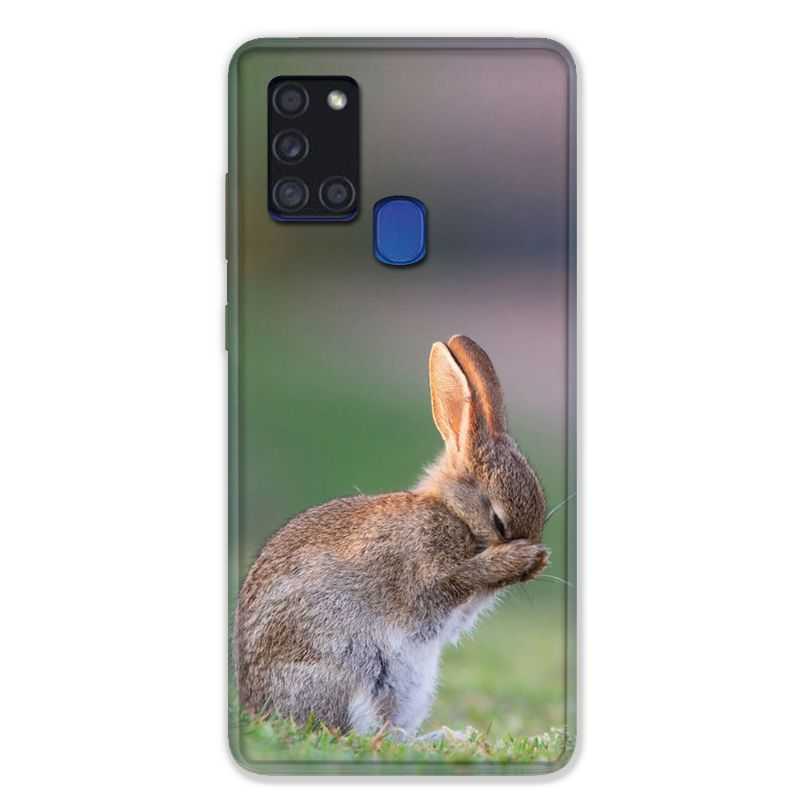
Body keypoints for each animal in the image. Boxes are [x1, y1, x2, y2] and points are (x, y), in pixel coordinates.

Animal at [234, 335, 549, 736]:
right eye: (498, 521)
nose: (534, 557)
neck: (453, 512)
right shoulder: (426, 571)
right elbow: (453, 581)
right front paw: (519, 558)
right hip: (352, 668)